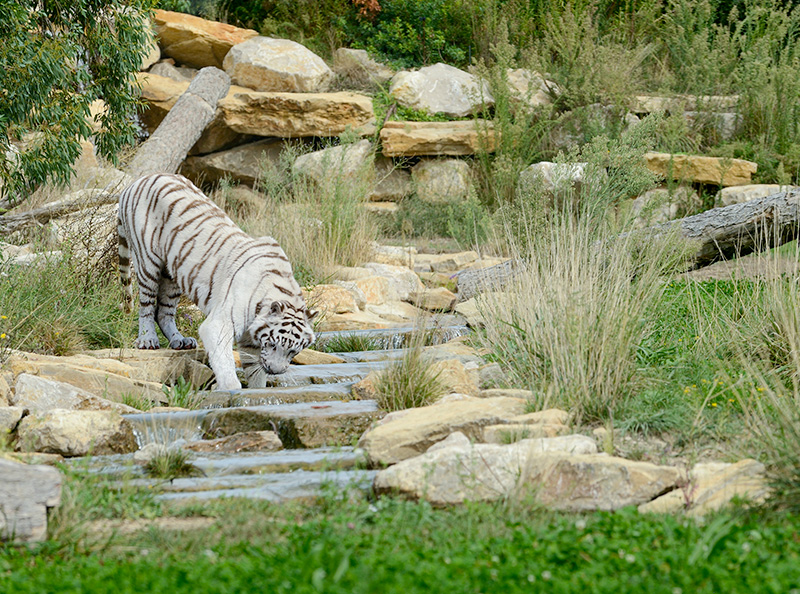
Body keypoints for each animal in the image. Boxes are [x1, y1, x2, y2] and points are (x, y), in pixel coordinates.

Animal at [117, 171, 318, 388]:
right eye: (273, 344)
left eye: (293, 351)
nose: (275, 370)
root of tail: (138, 180)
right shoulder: (219, 323)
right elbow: (224, 361)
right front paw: (231, 388)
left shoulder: (251, 339)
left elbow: (255, 371)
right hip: (147, 262)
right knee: (146, 307)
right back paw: (148, 340)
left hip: (173, 273)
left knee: (163, 312)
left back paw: (180, 340)